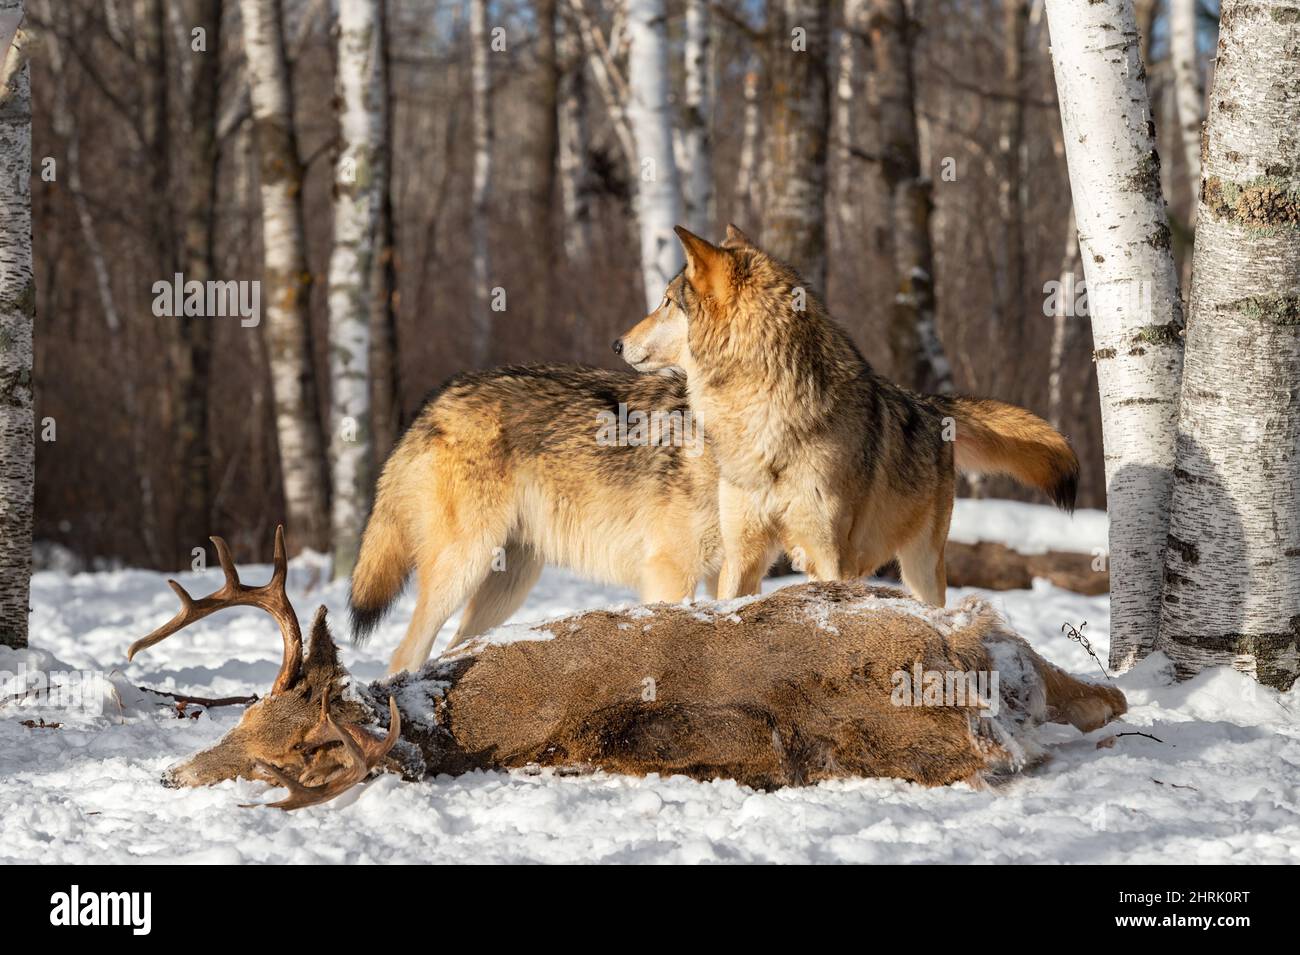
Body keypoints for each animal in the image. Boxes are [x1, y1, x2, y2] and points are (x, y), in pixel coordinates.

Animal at [616, 227, 1076, 600]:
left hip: (920, 566)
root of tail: (929, 403)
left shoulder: (830, 557)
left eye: (666, 303)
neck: (764, 416)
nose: (616, 344)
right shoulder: (742, 555)